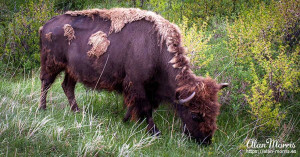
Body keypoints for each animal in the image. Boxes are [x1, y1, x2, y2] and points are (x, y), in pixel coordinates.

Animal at [39, 7, 227, 144]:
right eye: (195, 115)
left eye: (215, 112)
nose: (206, 141)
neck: (156, 48)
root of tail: (46, 25)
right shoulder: (138, 85)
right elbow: (146, 108)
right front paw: (155, 132)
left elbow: (135, 105)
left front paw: (125, 119)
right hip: (52, 65)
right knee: (46, 84)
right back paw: (43, 109)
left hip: (72, 70)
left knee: (67, 86)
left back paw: (77, 111)